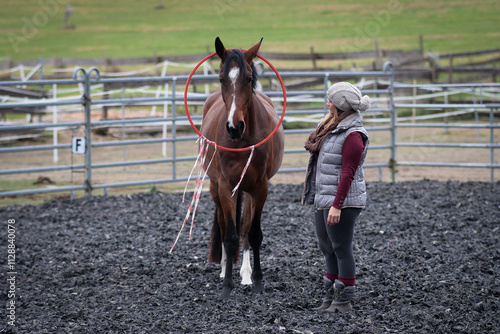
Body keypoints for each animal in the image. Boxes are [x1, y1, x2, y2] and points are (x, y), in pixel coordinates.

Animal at [200, 37, 286, 298]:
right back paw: (224, 270)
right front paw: (227, 286)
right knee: (224, 224)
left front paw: (256, 280)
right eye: (220, 78)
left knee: (246, 227)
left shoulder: (260, 187)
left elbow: (254, 233)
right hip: (216, 189)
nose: (234, 126)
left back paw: (246, 274)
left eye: (248, 78)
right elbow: (229, 236)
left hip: (248, 191)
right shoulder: (226, 187)